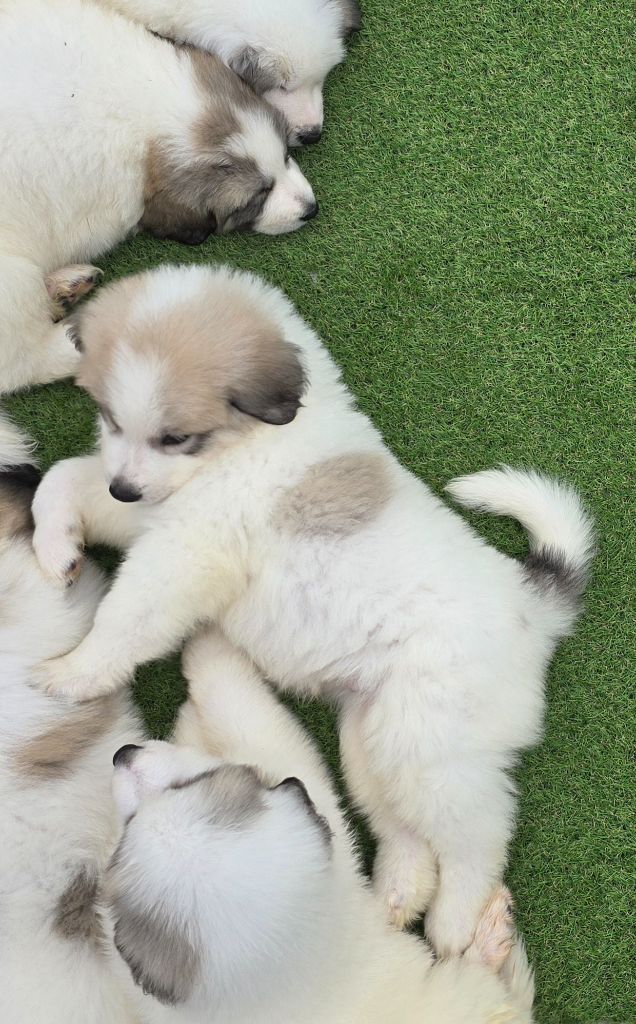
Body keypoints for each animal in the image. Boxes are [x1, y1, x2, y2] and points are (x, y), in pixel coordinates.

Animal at [0, 1, 315, 395]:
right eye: (254, 201)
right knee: (20, 362)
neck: (145, 104)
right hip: (12, 276)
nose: (312, 210)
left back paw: (62, 287)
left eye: (286, 156)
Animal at [30, 264, 594, 958]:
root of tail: (531, 603)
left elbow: (125, 618)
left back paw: (456, 921)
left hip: (430, 746)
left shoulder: (184, 552)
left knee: (478, 836)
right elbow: (61, 476)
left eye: (176, 437)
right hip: (371, 739)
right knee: (406, 832)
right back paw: (394, 898)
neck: (242, 447)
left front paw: (70, 673)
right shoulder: (151, 517)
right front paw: (55, 549)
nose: (126, 488)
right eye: (109, 418)